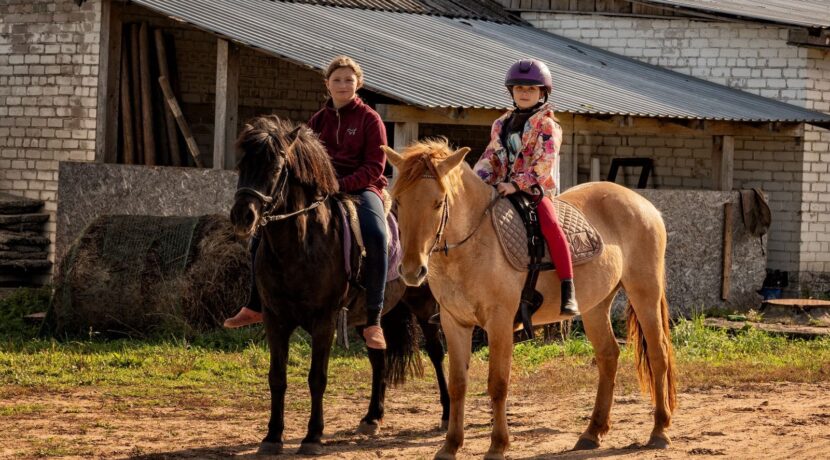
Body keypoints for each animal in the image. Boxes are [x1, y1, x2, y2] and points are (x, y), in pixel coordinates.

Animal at [228, 116, 452, 456]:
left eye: (276, 168)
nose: (243, 216)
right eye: (242, 164)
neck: (300, 244)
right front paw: (272, 436)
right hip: (374, 317)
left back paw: (447, 414)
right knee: (378, 357)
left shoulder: (325, 321)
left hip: (425, 307)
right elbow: (277, 377)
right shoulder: (274, 319)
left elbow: (317, 377)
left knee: (438, 354)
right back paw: (372, 417)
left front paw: (312, 437)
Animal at [384, 141, 676, 460]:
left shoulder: (499, 323)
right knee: (608, 355)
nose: (412, 270)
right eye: (398, 202)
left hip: (644, 292)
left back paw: (659, 430)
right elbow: (458, 385)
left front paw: (498, 445)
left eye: (438, 203)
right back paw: (592, 433)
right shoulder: (454, 323)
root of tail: (644, 204)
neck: (475, 244)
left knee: (658, 354)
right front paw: (450, 445)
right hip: (596, 306)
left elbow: (498, 383)